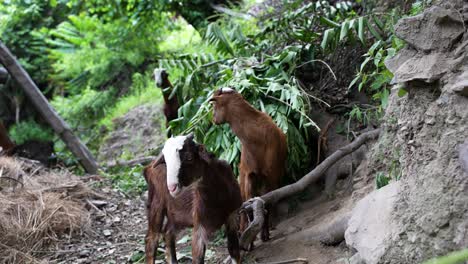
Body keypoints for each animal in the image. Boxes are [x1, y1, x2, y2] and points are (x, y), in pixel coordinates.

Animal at [210, 88, 288, 245]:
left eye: (214, 105)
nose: (213, 119)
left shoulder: (271, 176)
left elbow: (266, 203)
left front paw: (264, 235)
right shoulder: (249, 175)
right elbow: (248, 206)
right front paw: (250, 239)